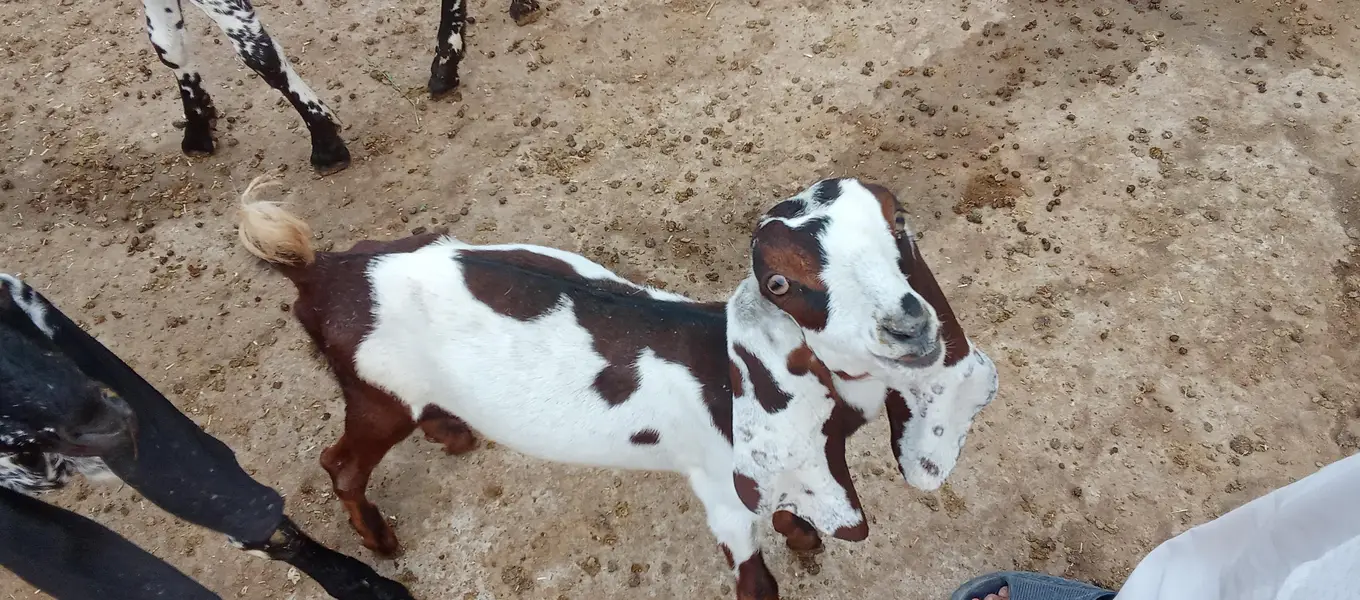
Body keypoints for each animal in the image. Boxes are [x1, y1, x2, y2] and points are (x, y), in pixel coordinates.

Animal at [236, 176, 999, 600]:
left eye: (899, 221)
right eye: (780, 282)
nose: (909, 325)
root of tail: (321, 271)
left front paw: (804, 535)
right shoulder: (721, 488)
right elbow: (756, 579)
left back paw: (452, 431)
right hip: (376, 392)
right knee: (341, 462)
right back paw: (379, 542)